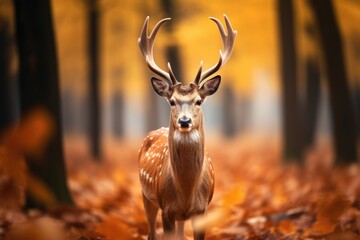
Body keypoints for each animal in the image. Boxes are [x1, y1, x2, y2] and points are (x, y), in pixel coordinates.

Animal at [138, 15, 236, 240]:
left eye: (199, 101)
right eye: (172, 101)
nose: (184, 122)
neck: (186, 194)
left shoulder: (202, 210)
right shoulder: (166, 209)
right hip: (146, 195)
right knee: (151, 233)